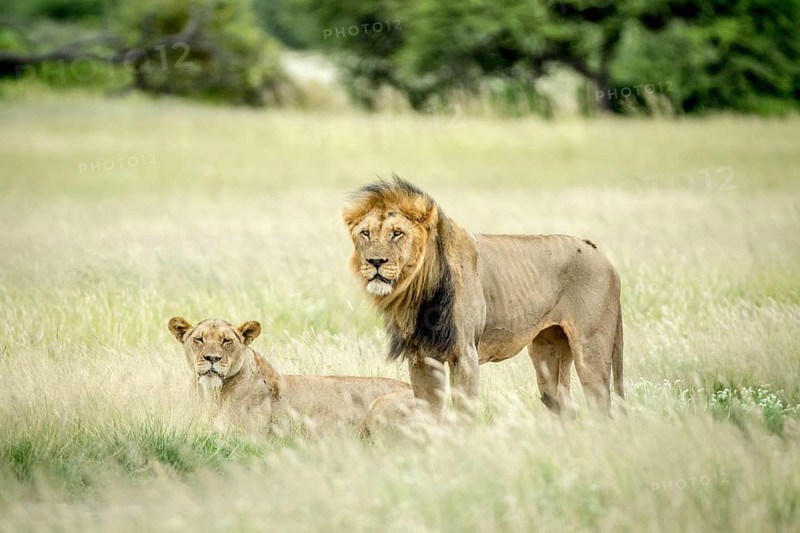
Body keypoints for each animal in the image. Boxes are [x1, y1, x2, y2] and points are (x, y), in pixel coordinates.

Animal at [342, 177, 624, 418]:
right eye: (366, 233)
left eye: (397, 233)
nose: (375, 262)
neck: (419, 289)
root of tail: (605, 259)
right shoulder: (421, 356)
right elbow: (428, 412)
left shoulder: (465, 353)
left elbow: (465, 412)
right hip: (548, 353)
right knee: (564, 405)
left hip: (590, 348)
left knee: (601, 405)